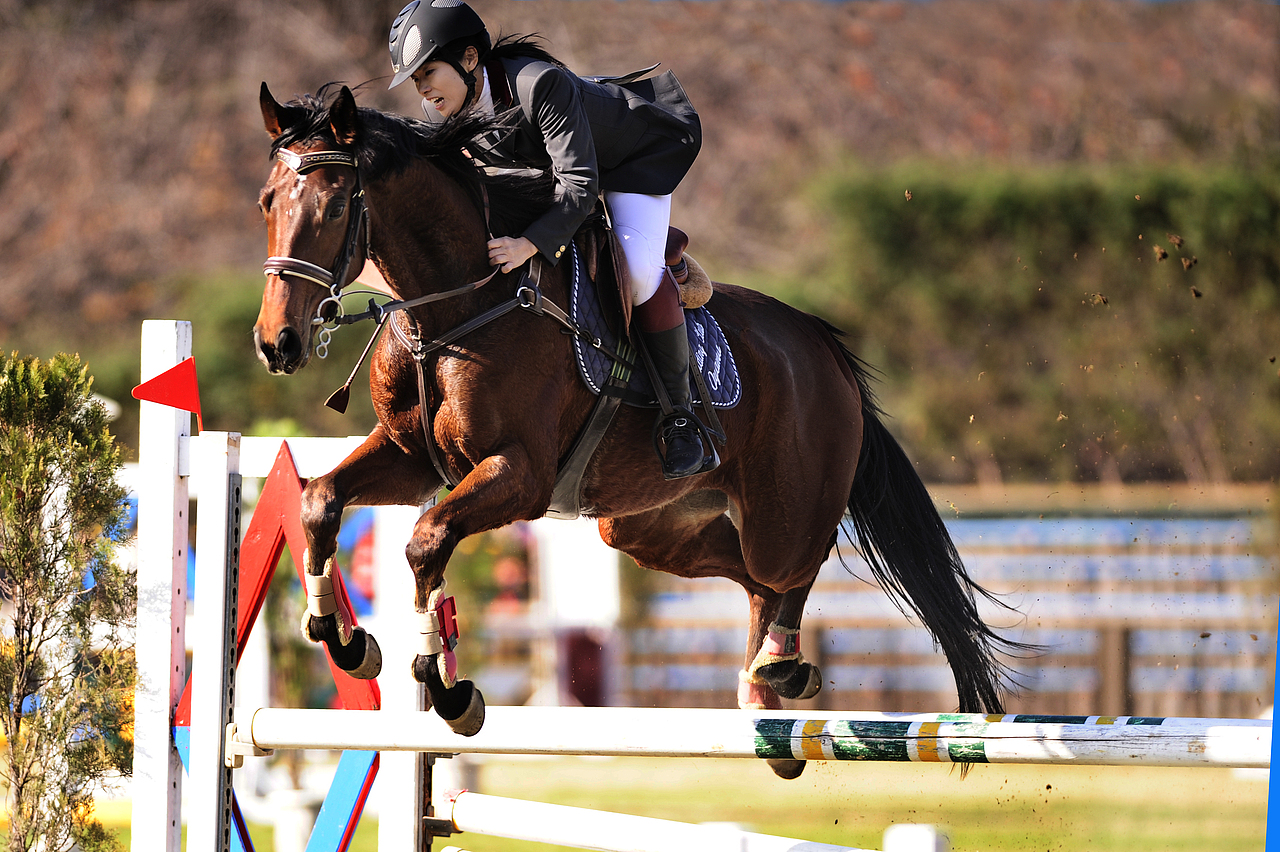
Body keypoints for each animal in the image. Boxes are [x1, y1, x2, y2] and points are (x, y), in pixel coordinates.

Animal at [253, 82, 1021, 779]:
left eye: (332, 206)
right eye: (267, 202)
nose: (276, 344)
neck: (456, 308)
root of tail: (821, 343)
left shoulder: (518, 476)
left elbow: (425, 541)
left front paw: (447, 689)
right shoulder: (412, 459)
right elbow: (320, 499)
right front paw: (342, 639)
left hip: (779, 509)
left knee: (797, 563)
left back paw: (781, 666)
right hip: (646, 527)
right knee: (751, 578)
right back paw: (764, 696)